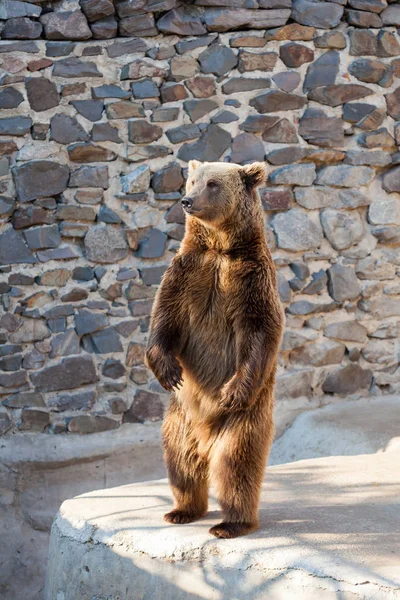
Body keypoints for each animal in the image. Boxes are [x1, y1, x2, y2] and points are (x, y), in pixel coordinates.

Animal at [145, 161, 282, 540]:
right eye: (191, 180)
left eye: (213, 183)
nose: (187, 200)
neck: (220, 248)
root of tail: (205, 438)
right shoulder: (187, 272)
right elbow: (164, 318)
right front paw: (169, 372)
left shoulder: (250, 280)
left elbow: (260, 330)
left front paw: (232, 390)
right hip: (179, 419)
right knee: (180, 463)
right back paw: (181, 510)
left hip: (243, 420)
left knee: (235, 466)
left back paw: (230, 523)